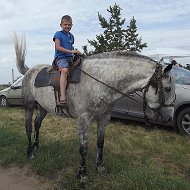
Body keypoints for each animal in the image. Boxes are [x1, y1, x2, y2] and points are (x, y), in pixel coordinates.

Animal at [14, 35, 176, 184]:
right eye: (168, 88)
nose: (169, 117)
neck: (100, 80)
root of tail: (29, 71)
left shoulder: (104, 118)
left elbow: (100, 143)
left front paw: (100, 168)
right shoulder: (84, 119)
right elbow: (83, 148)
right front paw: (83, 176)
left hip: (43, 108)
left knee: (37, 124)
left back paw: (36, 147)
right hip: (29, 106)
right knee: (28, 127)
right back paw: (29, 153)